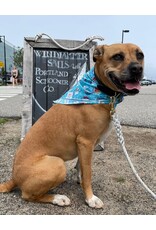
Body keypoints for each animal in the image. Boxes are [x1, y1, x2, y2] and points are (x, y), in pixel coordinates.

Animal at [0, 42, 144, 208]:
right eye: (118, 56)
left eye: (140, 55)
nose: (137, 69)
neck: (99, 90)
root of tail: (13, 178)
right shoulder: (86, 142)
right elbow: (88, 173)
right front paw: (90, 198)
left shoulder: (85, 147)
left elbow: (81, 168)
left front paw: (80, 182)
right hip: (57, 164)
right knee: (27, 195)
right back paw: (58, 198)